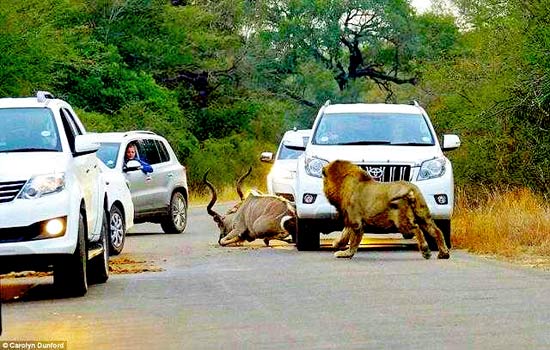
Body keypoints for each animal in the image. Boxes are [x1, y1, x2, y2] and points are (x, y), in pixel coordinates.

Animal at [322, 160, 450, 258]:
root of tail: (410, 188)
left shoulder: (356, 221)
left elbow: (353, 241)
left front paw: (345, 253)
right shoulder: (351, 219)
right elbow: (345, 233)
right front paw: (337, 244)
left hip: (401, 221)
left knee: (417, 229)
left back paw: (426, 251)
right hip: (423, 214)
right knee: (437, 231)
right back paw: (444, 254)